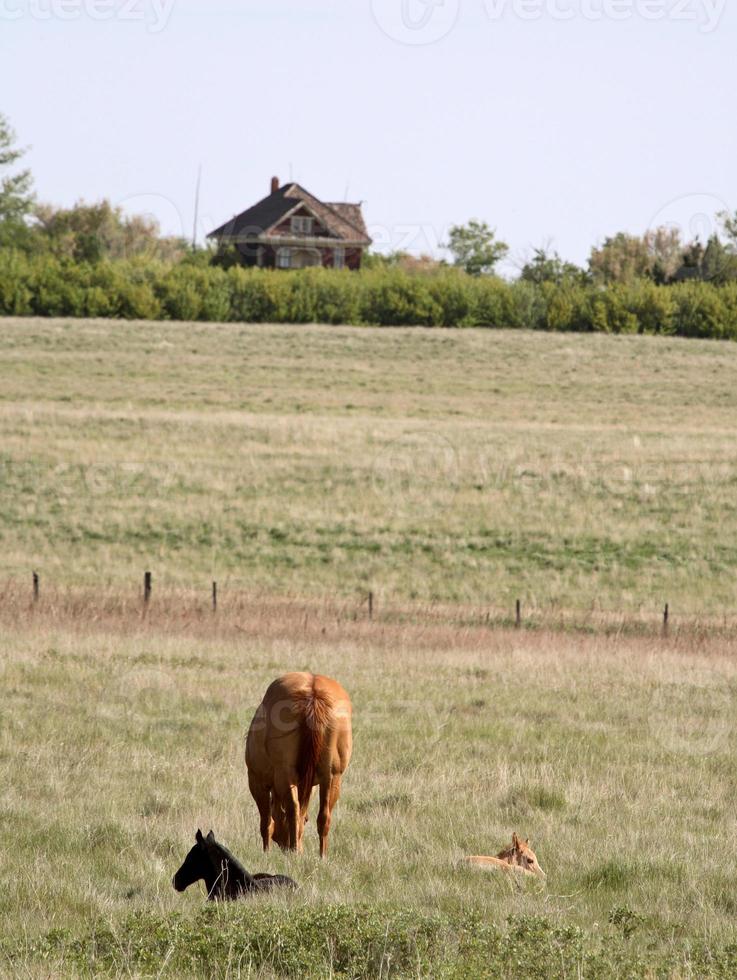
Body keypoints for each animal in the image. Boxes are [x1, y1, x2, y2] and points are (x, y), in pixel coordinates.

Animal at [246, 672, 352, 856]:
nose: (285, 846)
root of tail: (313, 692)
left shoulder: (257, 781)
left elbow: (266, 822)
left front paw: (266, 852)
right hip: (332, 778)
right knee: (324, 816)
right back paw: (321, 856)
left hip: (285, 774)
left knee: (293, 810)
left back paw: (295, 851)